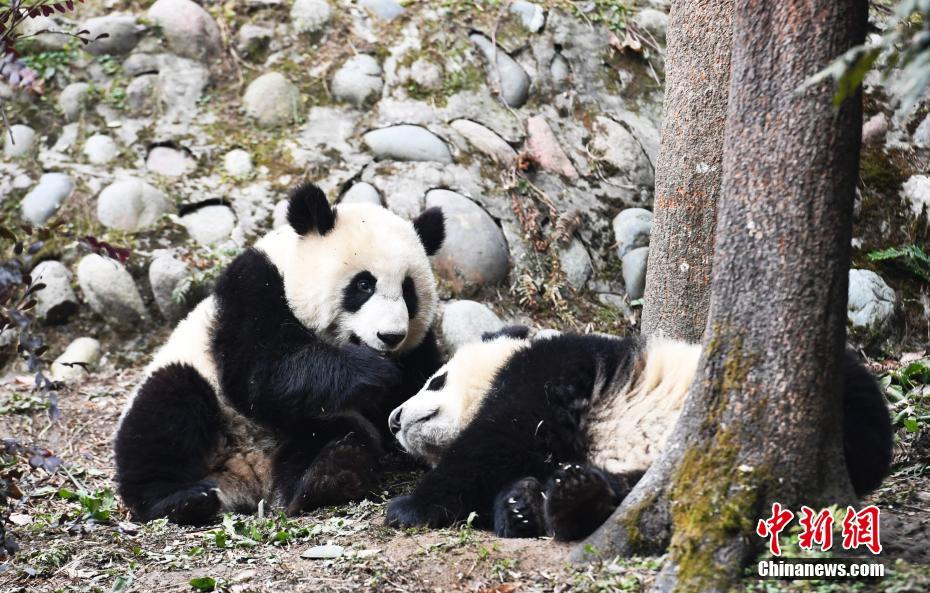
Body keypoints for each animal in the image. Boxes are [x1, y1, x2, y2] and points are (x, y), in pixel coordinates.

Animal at [112, 184, 446, 524]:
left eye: (408, 291)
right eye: (364, 284)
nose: (390, 336)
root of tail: (245, 471)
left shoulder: (417, 347)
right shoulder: (252, 289)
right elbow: (261, 372)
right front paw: (374, 372)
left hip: (302, 431)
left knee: (324, 435)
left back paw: (331, 472)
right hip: (196, 384)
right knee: (167, 411)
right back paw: (180, 500)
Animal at [384, 326, 892, 540]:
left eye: (435, 380)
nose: (393, 418)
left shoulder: (548, 372)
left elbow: (496, 441)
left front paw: (407, 507)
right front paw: (519, 506)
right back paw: (576, 499)